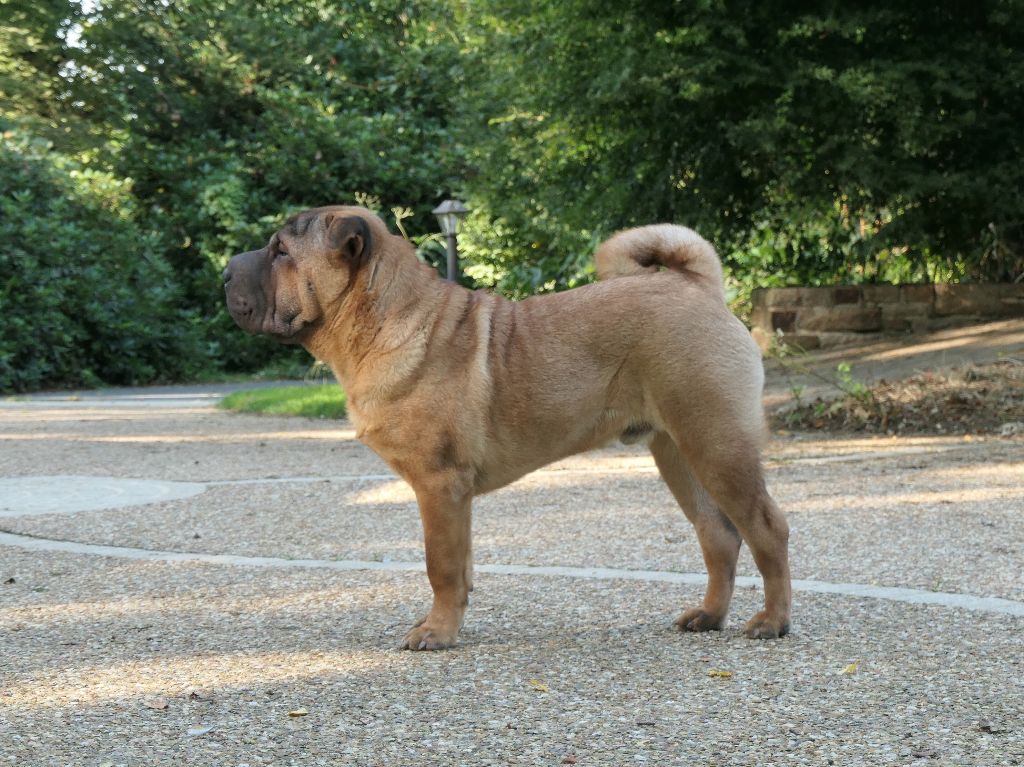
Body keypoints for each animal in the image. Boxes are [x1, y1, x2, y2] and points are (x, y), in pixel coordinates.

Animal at [224, 206, 791, 649]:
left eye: (280, 251)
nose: (226, 272)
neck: (382, 321)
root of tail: (696, 286)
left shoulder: (439, 485)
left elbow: (440, 565)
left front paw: (435, 634)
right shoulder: (453, 499)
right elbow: (460, 567)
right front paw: (445, 623)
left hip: (715, 443)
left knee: (767, 528)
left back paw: (772, 621)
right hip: (678, 451)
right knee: (717, 534)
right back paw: (709, 616)